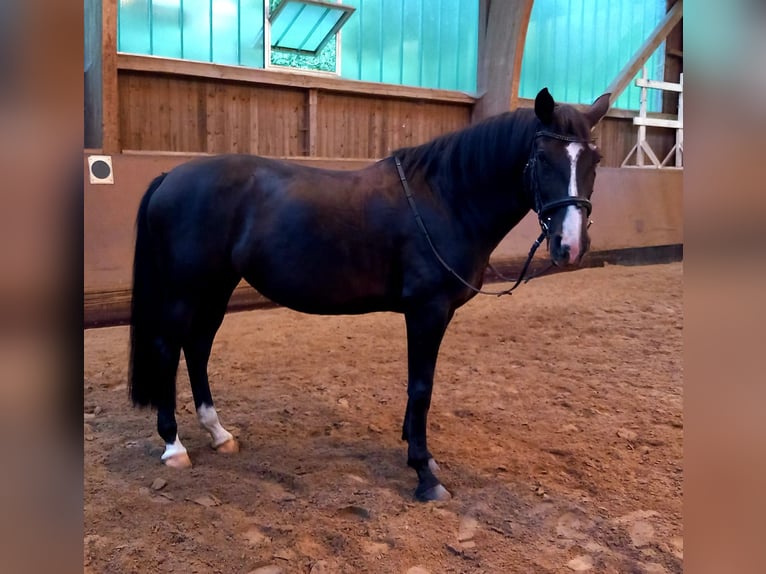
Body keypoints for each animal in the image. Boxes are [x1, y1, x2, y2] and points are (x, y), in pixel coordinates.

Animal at [129, 88, 610, 501]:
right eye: (542, 158)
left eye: (595, 160)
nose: (570, 246)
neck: (444, 198)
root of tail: (170, 176)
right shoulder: (426, 311)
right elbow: (422, 386)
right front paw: (425, 473)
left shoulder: (435, 314)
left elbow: (420, 387)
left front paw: (417, 450)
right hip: (188, 290)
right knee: (169, 348)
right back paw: (174, 446)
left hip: (217, 287)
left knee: (198, 346)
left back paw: (218, 434)